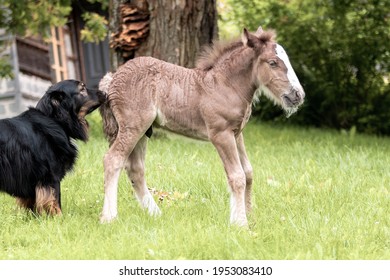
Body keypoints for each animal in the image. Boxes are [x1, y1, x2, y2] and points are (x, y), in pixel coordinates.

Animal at [0, 80, 105, 215]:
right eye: (82, 89)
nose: (104, 92)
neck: (54, 120)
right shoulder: (51, 176)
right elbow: (54, 198)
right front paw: (59, 217)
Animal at [98, 26, 304, 228]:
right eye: (273, 63)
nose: (298, 95)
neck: (226, 85)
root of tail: (112, 80)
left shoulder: (237, 134)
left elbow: (248, 173)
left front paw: (249, 216)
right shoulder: (220, 134)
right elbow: (237, 176)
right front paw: (240, 223)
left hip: (143, 131)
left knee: (135, 168)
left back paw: (155, 214)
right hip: (132, 127)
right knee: (113, 160)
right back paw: (109, 217)